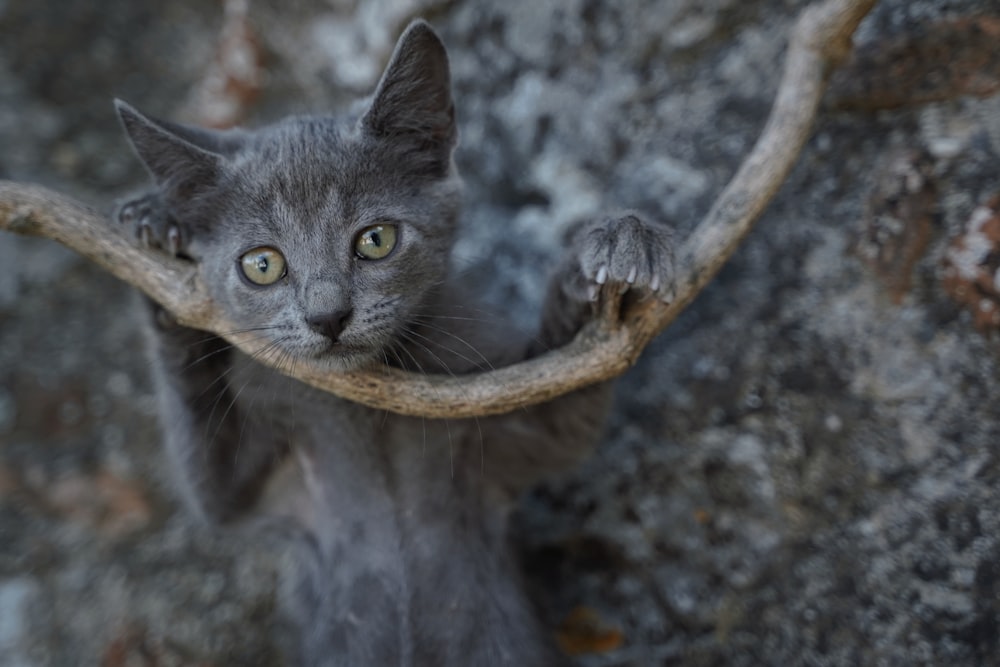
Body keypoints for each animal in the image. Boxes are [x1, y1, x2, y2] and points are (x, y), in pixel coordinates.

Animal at [115, 20, 672, 667]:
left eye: (375, 240)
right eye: (262, 264)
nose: (327, 315)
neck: (368, 418)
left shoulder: (505, 434)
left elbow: (567, 403)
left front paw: (612, 252)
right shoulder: (269, 491)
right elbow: (210, 472)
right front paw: (161, 233)